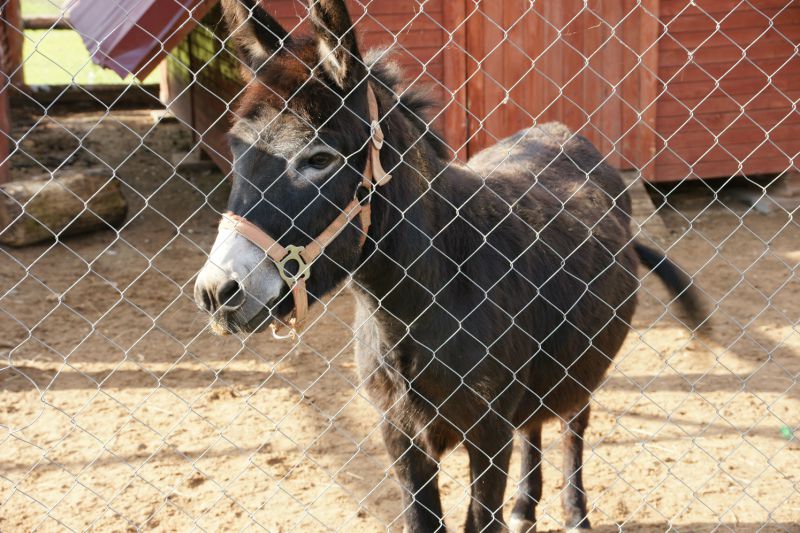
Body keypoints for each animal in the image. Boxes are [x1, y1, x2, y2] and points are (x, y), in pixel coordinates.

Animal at [194, 1, 704, 531]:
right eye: (237, 149)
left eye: (319, 158)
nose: (216, 292)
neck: (416, 305)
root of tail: (563, 134)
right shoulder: (399, 435)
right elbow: (424, 519)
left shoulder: (489, 433)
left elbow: (480, 517)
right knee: (535, 424)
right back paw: (525, 507)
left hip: (582, 367)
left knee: (572, 425)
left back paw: (575, 513)